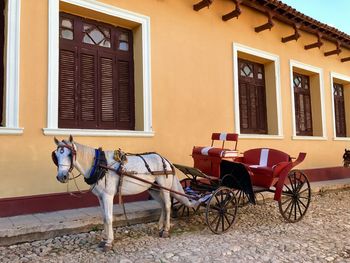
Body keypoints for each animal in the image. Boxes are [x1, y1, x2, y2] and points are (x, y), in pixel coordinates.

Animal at [52, 136, 200, 252]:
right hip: (154, 189)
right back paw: (160, 227)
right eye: (56, 155)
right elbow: (104, 218)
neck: (100, 165)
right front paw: (104, 240)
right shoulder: (100, 197)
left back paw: (166, 230)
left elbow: (109, 218)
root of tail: (166, 161)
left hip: (164, 188)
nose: (61, 177)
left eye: (70, 154)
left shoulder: (108, 196)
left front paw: (108, 243)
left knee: (168, 205)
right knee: (163, 205)